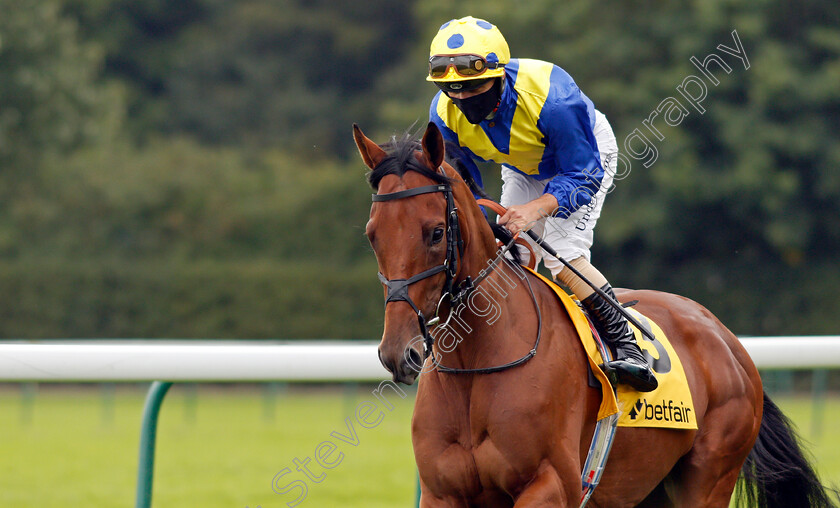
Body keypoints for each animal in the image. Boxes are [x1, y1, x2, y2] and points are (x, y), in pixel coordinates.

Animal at [352, 123, 832, 508]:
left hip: (709, 476)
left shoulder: (550, 484)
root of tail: (728, 340)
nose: (399, 353)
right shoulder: (442, 492)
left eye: (435, 232)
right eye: (372, 234)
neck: (477, 366)